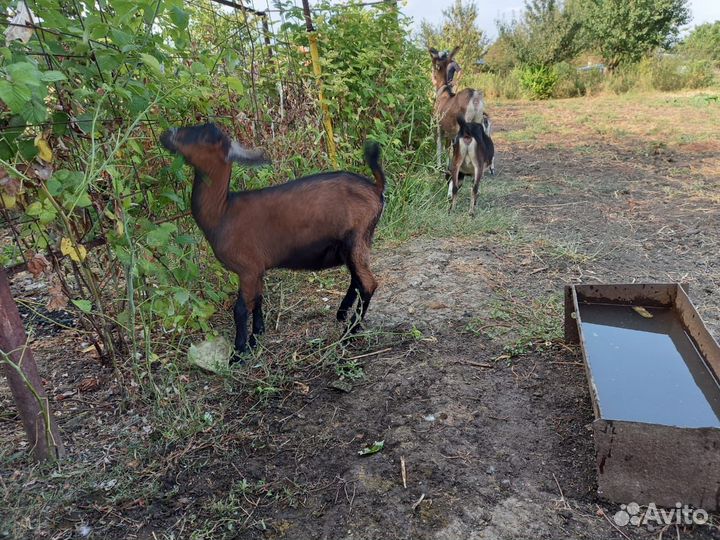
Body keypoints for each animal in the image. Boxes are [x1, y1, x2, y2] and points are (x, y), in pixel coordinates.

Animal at [159, 124, 385, 362]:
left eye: (205, 136)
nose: (167, 134)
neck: (223, 212)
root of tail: (376, 188)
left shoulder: (247, 268)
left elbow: (240, 308)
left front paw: (239, 352)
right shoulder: (256, 268)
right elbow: (258, 299)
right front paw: (256, 335)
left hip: (357, 237)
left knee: (368, 284)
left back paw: (349, 332)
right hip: (351, 244)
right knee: (357, 279)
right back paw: (342, 315)